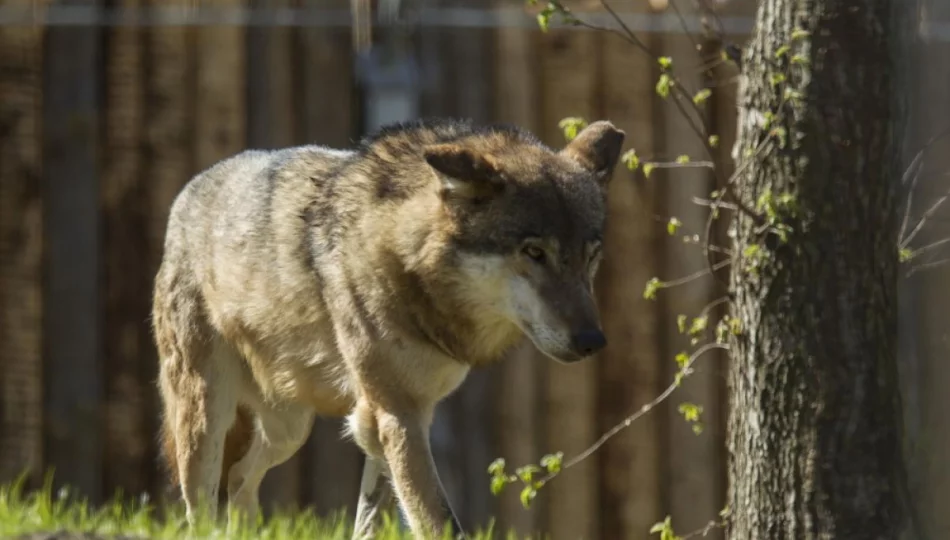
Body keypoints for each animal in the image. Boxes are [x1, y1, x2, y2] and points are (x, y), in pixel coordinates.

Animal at [152, 117, 628, 536]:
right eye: (534, 252)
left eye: (590, 256)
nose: (593, 341)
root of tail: (187, 193)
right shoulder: (398, 413)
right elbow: (438, 521)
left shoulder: (387, 416)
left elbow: (371, 519)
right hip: (205, 415)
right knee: (202, 504)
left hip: (290, 429)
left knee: (238, 479)